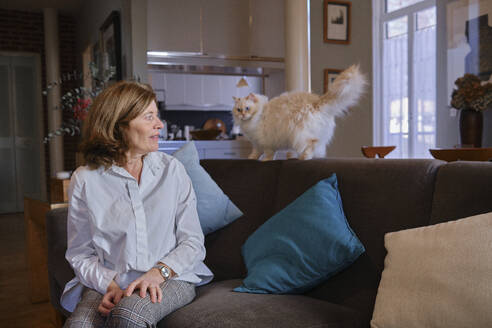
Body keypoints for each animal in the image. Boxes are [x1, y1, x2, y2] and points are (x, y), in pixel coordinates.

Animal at [232, 64, 366, 160]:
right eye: (238, 109)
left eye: (247, 108)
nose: (242, 115)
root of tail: (316, 101)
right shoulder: (256, 143)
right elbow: (255, 152)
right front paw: (251, 158)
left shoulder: (266, 142)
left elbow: (269, 154)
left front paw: (265, 160)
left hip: (300, 135)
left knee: (312, 142)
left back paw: (303, 157)